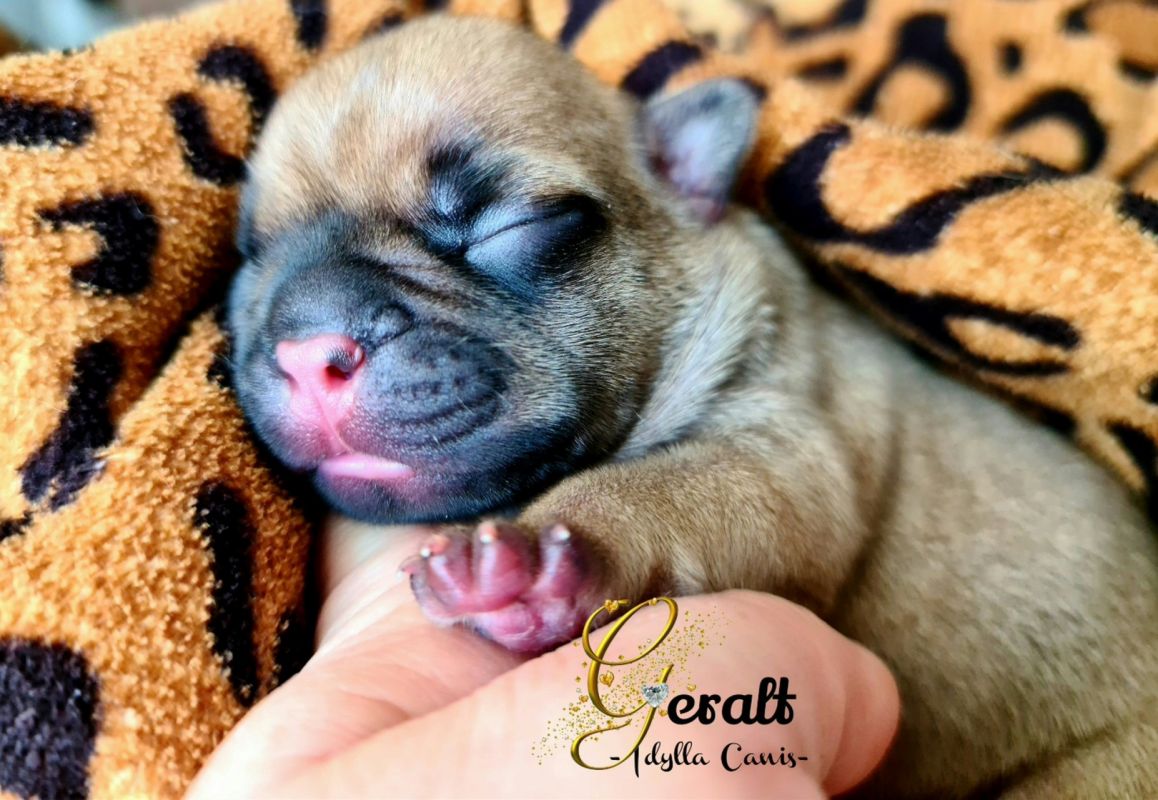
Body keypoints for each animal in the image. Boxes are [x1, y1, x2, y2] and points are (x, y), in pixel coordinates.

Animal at [226, 17, 1158, 799]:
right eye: (251, 258)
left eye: (511, 227)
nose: (307, 343)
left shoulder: (786, 450)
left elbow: (666, 490)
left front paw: (533, 566)